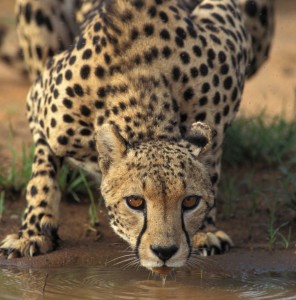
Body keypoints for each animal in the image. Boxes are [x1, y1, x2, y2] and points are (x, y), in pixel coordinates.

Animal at [0, 0, 274, 274]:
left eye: (190, 202)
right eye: (134, 201)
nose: (165, 251)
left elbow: (212, 169)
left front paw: (205, 231)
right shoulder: (38, 105)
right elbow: (41, 176)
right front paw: (33, 232)